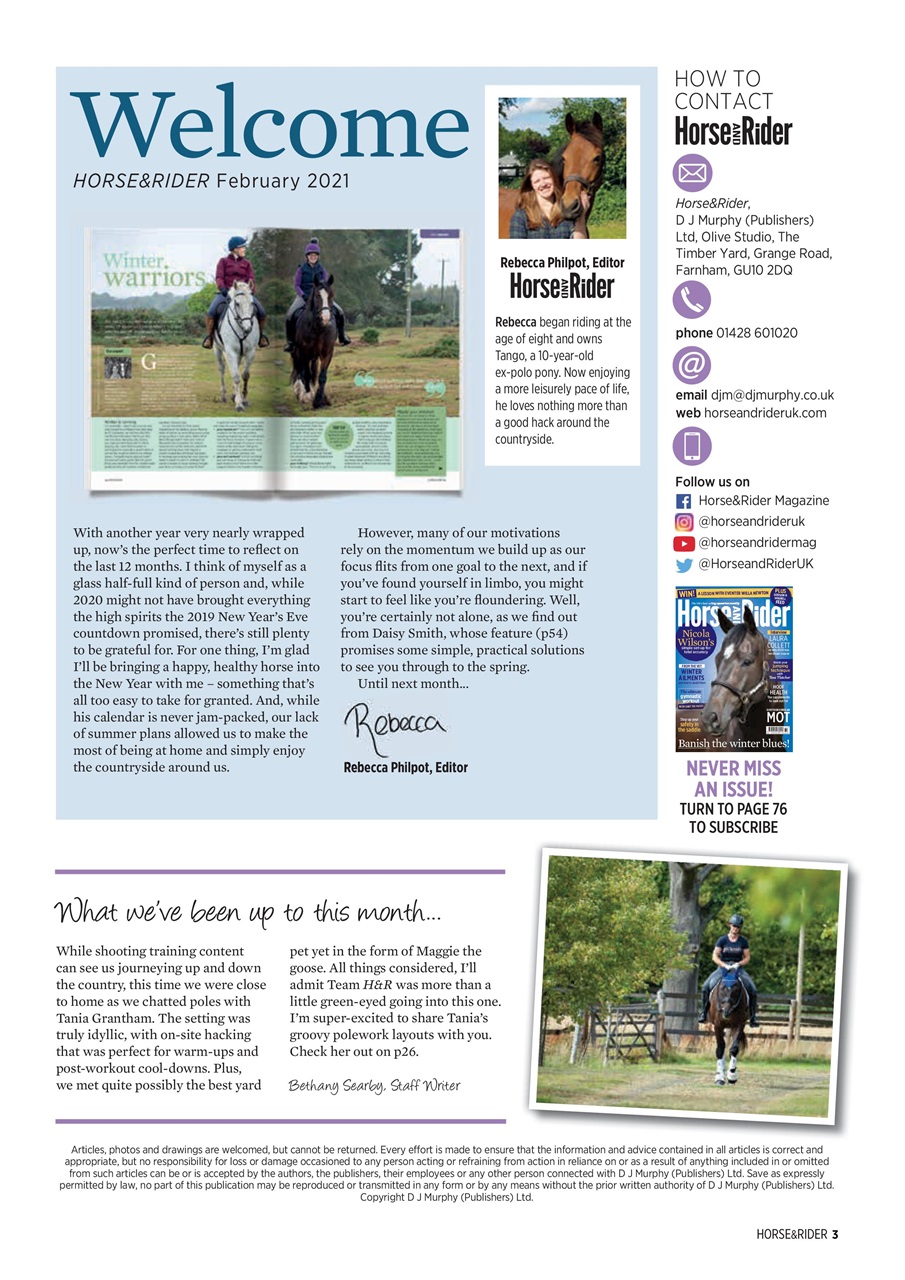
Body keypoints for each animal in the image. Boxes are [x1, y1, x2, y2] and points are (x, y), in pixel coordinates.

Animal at [214, 282, 259, 412]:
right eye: (237, 303)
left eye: (252, 303)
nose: (247, 328)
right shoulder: (230, 352)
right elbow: (236, 376)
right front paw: (239, 404)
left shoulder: (250, 352)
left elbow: (245, 375)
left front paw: (243, 399)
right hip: (217, 349)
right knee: (222, 369)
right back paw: (223, 395)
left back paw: (234, 394)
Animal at [289, 274, 337, 410]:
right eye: (317, 295)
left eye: (331, 295)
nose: (325, 318)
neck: (319, 328)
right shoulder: (304, 353)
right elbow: (306, 374)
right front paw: (307, 396)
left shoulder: (327, 353)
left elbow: (322, 376)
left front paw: (320, 400)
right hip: (296, 353)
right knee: (299, 369)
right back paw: (300, 390)